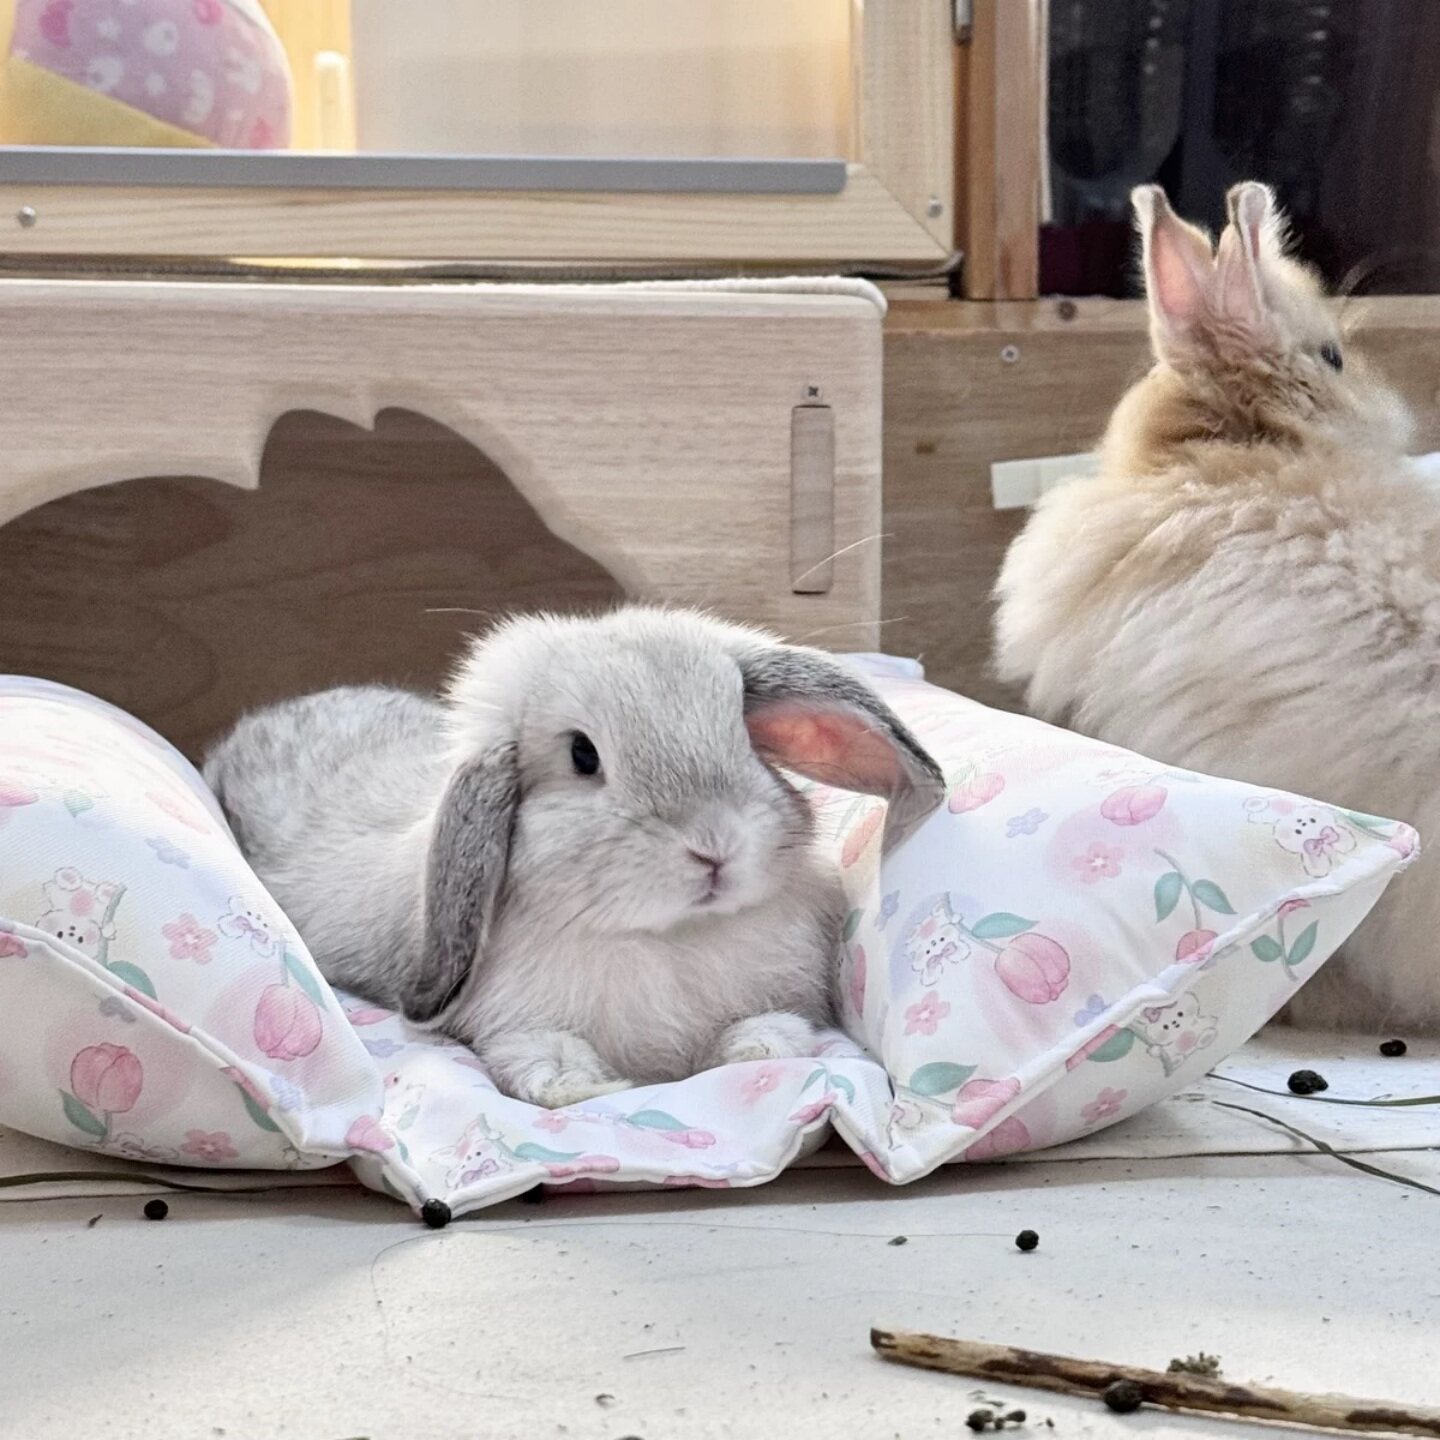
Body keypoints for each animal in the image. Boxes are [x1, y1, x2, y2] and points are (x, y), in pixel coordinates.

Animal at [203, 606, 945, 1106]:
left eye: (741, 736)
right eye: (582, 756)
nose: (715, 848)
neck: (667, 936)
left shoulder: (782, 1002)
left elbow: (769, 1033)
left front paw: (743, 1054)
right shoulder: (518, 1026)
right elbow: (546, 1065)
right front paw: (591, 1091)